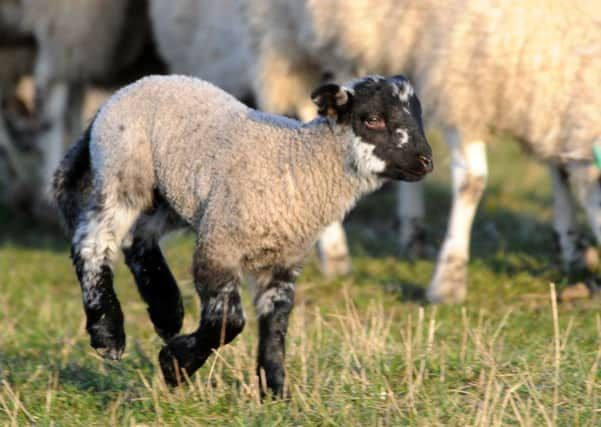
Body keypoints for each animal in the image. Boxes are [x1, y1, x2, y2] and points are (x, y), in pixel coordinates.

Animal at [54, 74, 434, 398]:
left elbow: (276, 324)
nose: (426, 162)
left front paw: (275, 392)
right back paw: (109, 334)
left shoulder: (283, 262)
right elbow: (228, 321)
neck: (298, 165)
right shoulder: (219, 246)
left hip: (174, 196)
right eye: (374, 119)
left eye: (418, 115)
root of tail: (113, 99)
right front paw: (175, 366)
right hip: (124, 173)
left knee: (138, 239)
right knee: (92, 242)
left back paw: (167, 311)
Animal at [241, 0, 600, 304]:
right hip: (288, 36)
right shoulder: (460, 78)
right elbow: (472, 181)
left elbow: (560, 169)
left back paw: (412, 236)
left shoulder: (544, 102)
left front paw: (573, 250)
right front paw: (449, 281)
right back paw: (335, 254)